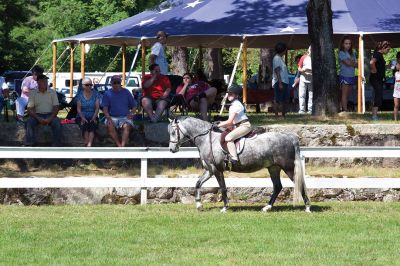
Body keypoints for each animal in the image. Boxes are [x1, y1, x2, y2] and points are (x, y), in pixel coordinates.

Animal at [167, 116, 310, 212]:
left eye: (173, 132)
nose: (172, 149)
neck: (207, 139)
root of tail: (290, 137)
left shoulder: (217, 170)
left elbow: (223, 188)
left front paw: (225, 208)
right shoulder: (210, 170)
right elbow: (197, 184)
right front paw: (199, 205)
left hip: (288, 168)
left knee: (299, 184)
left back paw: (307, 208)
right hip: (273, 168)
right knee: (277, 186)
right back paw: (267, 207)